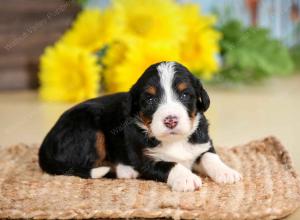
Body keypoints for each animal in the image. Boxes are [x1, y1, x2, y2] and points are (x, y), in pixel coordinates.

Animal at [39, 61, 241, 191]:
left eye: (185, 95)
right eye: (150, 99)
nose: (171, 120)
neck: (174, 140)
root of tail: (45, 143)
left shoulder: (202, 143)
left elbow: (209, 156)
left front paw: (226, 172)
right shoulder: (145, 159)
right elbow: (170, 164)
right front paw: (186, 178)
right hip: (90, 130)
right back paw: (126, 171)